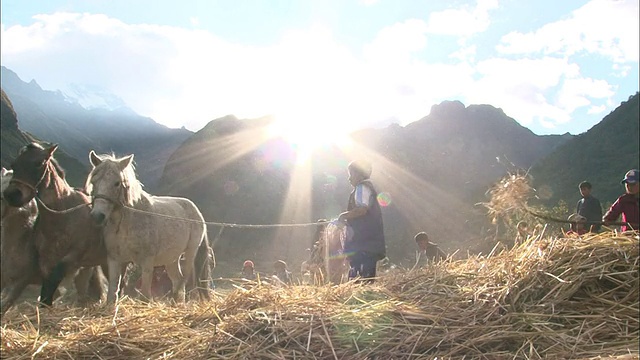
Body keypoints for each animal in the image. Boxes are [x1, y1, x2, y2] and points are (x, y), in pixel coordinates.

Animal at [2, 143, 106, 306]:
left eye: (39, 163)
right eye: (14, 164)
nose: (12, 195)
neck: (62, 216)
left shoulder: (71, 258)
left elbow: (51, 286)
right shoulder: (46, 264)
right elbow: (46, 293)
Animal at [83, 150, 210, 302]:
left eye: (117, 183)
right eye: (93, 182)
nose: (97, 216)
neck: (127, 223)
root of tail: (196, 211)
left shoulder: (147, 263)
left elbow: (144, 293)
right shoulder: (114, 260)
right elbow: (113, 293)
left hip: (190, 252)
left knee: (184, 280)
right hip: (172, 258)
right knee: (178, 281)